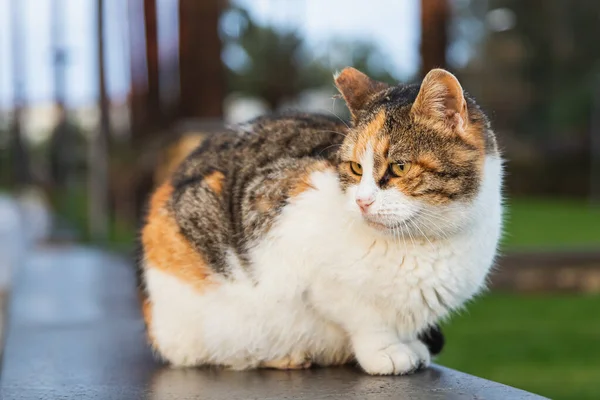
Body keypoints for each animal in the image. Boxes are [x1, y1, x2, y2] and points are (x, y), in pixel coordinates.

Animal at [136, 66, 502, 376]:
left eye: (399, 167)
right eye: (355, 168)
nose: (362, 201)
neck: (424, 243)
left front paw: (410, 344)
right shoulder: (296, 245)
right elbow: (366, 318)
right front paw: (386, 351)